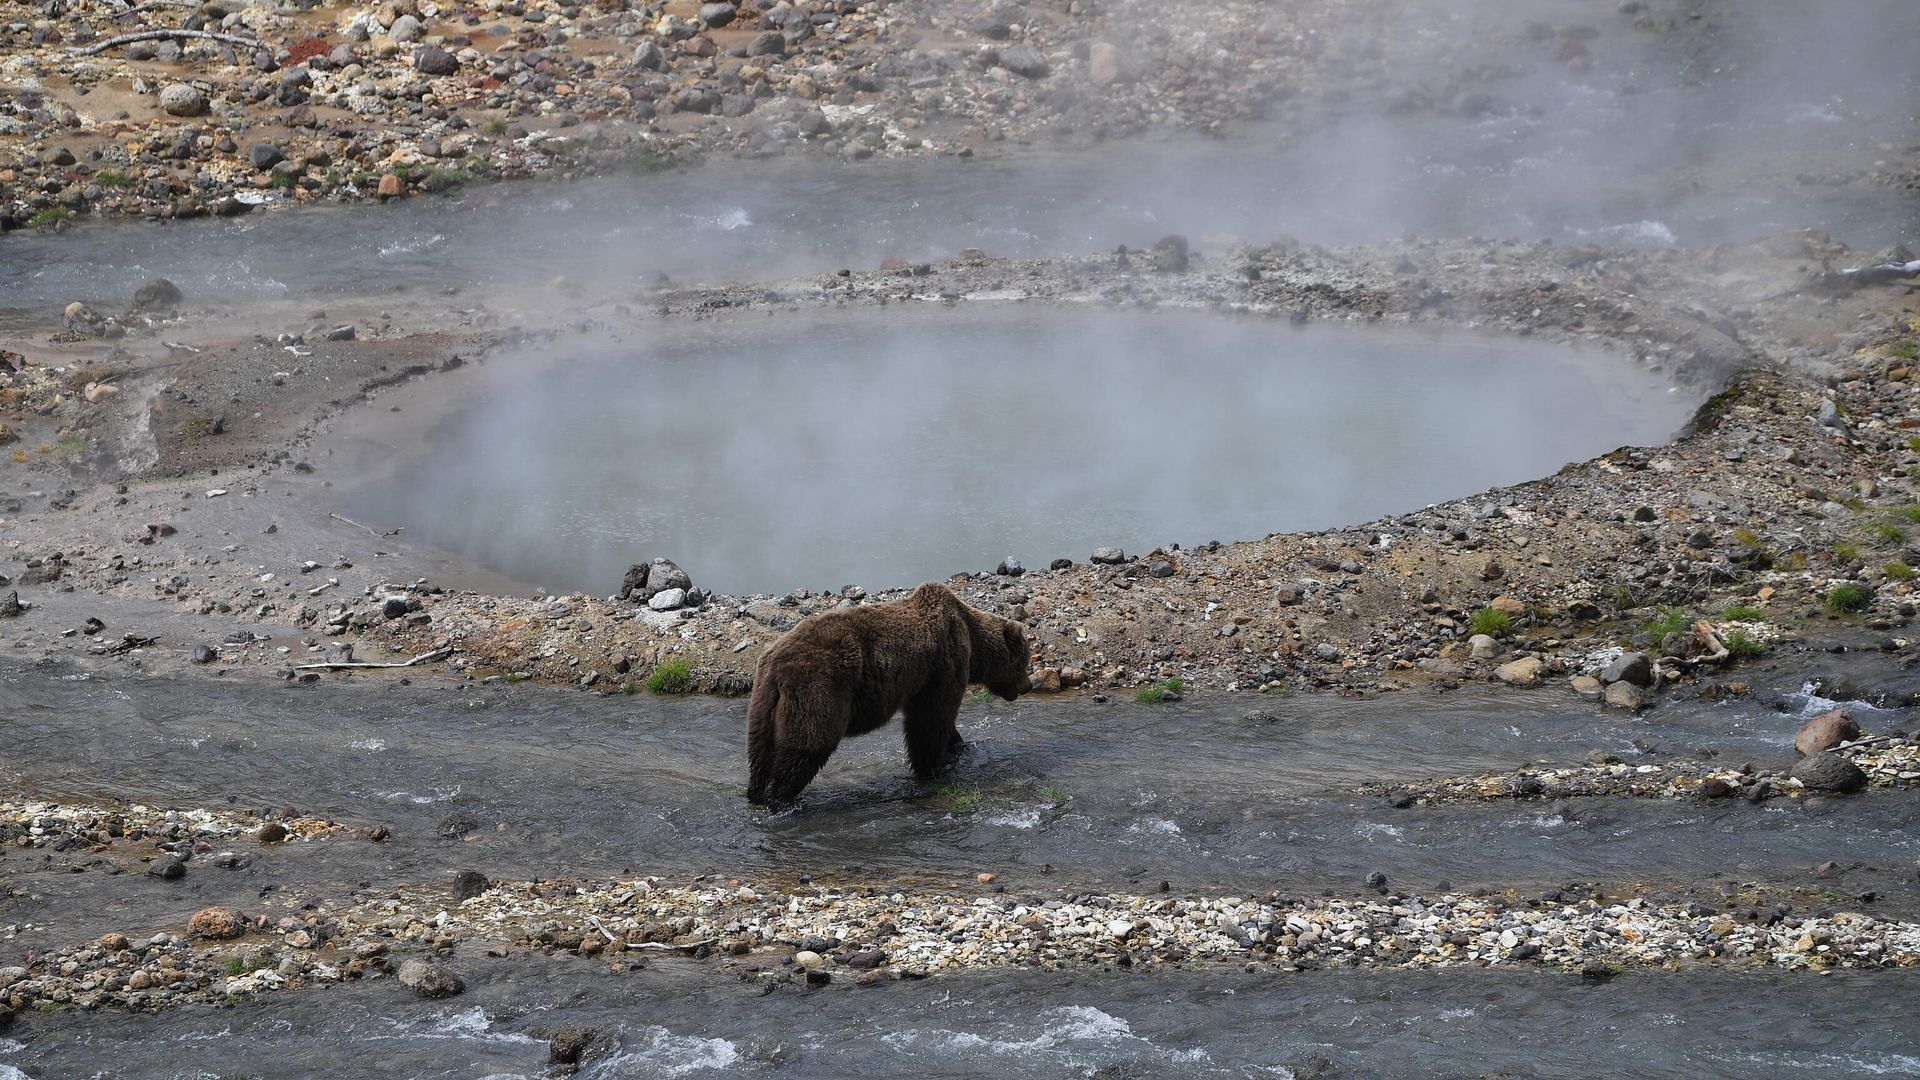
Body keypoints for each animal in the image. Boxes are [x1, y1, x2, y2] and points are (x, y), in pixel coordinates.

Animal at [745, 582, 1032, 809]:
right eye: (1024, 662)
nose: (1028, 686)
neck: (972, 640)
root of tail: (776, 669)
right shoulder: (943, 665)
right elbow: (932, 720)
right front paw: (931, 767)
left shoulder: (920, 681)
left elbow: (937, 720)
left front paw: (958, 746)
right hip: (817, 689)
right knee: (808, 744)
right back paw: (782, 798)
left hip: (763, 702)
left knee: (760, 750)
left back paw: (756, 792)